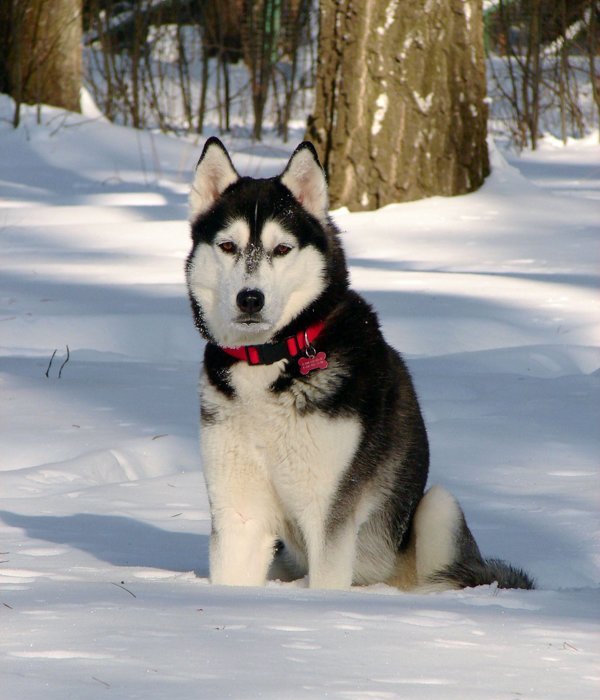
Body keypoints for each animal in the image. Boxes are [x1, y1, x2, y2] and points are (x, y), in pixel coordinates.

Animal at [185, 137, 532, 592]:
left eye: (282, 249)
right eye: (227, 246)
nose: (250, 299)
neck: (269, 360)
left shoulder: (329, 512)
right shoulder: (237, 511)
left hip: (438, 510)